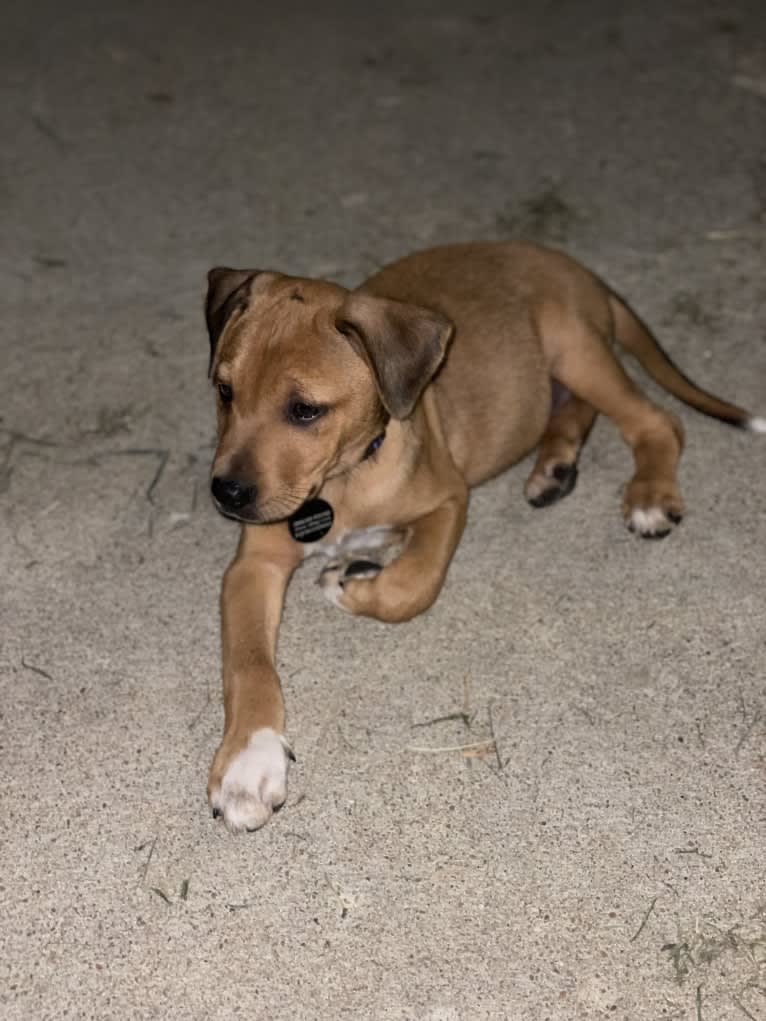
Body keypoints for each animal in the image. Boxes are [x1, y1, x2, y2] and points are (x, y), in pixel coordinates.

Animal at [202, 242, 763, 833]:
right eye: (224, 391)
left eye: (305, 410)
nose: (226, 493)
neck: (343, 479)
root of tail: (571, 265)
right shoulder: (253, 566)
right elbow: (249, 664)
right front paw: (248, 761)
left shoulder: (450, 499)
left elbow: (413, 584)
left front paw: (351, 582)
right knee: (572, 409)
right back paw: (554, 468)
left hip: (576, 348)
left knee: (656, 420)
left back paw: (649, 494)